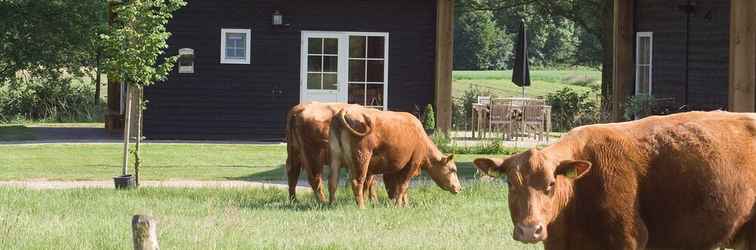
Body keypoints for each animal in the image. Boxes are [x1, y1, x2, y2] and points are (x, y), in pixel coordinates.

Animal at [330, 106, 460, 208]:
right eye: (452, 169)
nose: (459, 188)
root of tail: (347, 110)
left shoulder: (392, 169)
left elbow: (393, 188)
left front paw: (403, 204)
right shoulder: (413, 164)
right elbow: (402, 186)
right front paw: (398, 205)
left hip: (336, 158)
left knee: (333, 181)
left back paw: (332, 204)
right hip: (362, 158)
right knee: (357, 182)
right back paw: (361, 207)